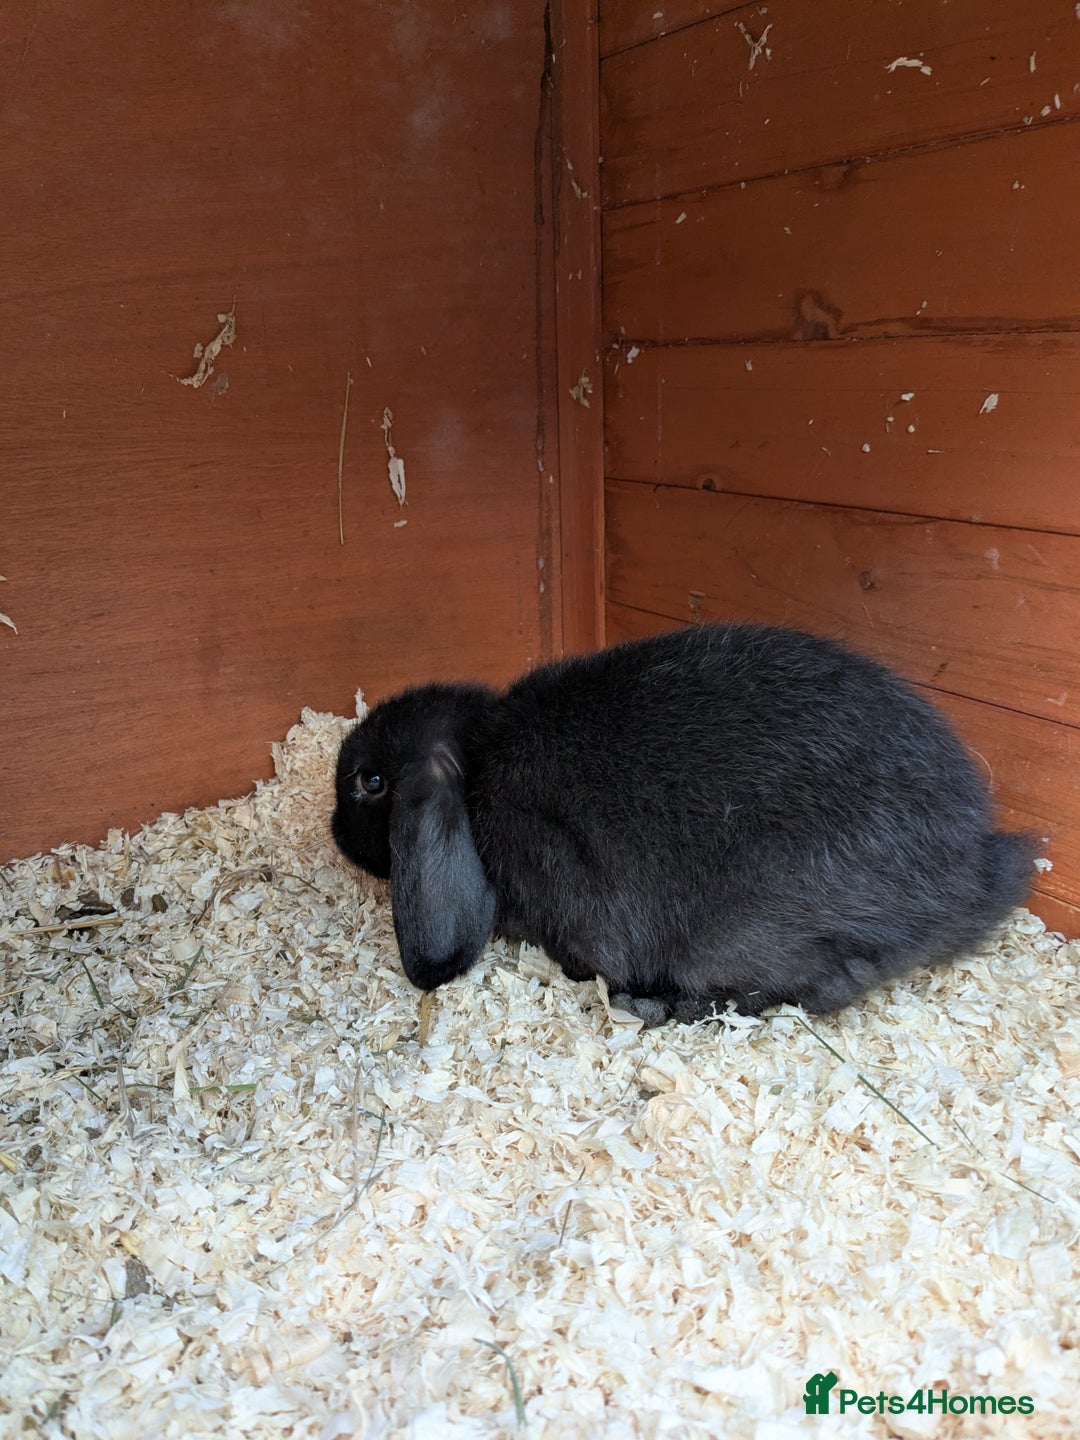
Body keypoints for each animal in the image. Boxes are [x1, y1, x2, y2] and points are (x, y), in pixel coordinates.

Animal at [331, 622, 1037, 1023]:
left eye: (371, 783)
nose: (334, 832)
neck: (481, 770)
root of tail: (968, 879)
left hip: (749, 936)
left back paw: (650, 1005)